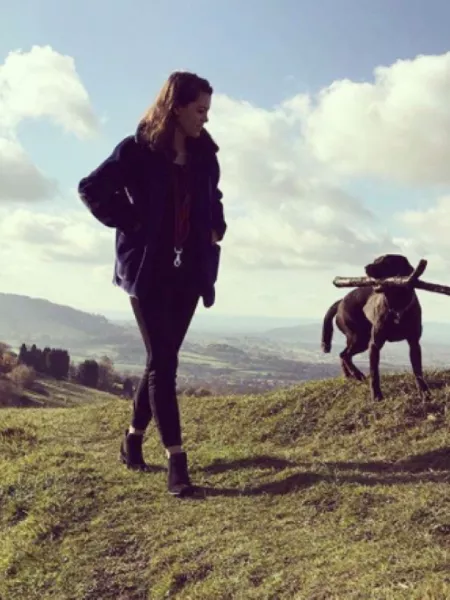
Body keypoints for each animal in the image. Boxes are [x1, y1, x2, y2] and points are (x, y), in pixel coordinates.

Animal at [320, 252, 428, 398]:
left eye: (387, 262)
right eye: (375, 260)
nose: (366, 267)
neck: (396, 307)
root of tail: (341, 301)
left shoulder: (414, 343)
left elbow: (418, 370)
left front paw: (424, 391)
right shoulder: (374, 344)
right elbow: (374, 373)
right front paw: (377, 396)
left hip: (358, 339)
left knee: (343, 354)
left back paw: (349, 375)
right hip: (360, 338)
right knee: (345, 355)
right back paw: (357, 374)